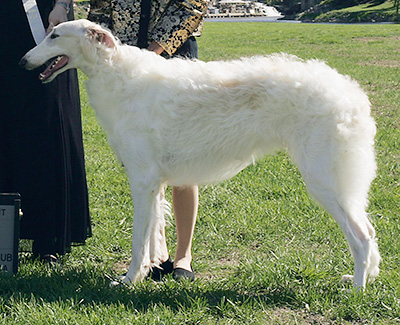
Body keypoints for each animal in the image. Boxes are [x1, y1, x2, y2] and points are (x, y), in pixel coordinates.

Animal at [21, 19, 382, 286]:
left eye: (54, 35)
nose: (23, 61)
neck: (117, 74)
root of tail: (352, 94)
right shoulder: (154, 183)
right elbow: (153, 236)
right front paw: (146, 273)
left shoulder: (142, 180)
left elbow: (138, 241)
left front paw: (128, 280)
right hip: (341, 183)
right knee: (370, 231)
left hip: (324, 180)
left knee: (362, 236)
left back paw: (356, 289)